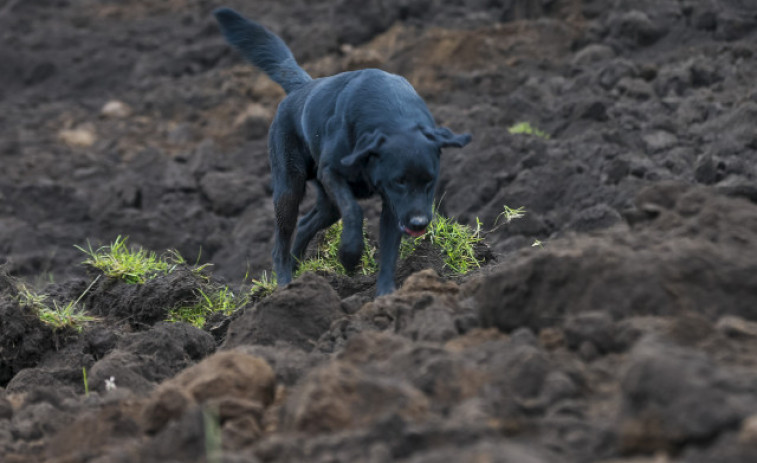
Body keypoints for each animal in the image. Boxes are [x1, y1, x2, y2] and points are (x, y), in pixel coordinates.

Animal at [213, 9, 470, 298]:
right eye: (400, 181)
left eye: (430, 181)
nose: (418, 223)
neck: (395, 116)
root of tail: (303, 87)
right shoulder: (334, 173)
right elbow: (354, 210)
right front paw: (349, 255)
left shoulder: (393, 204)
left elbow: (390, 250)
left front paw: (386, 295)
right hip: (289, 188)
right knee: (280, 243)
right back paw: (285, 285)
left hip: (326, 203)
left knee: (306, 224)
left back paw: (299, 271)